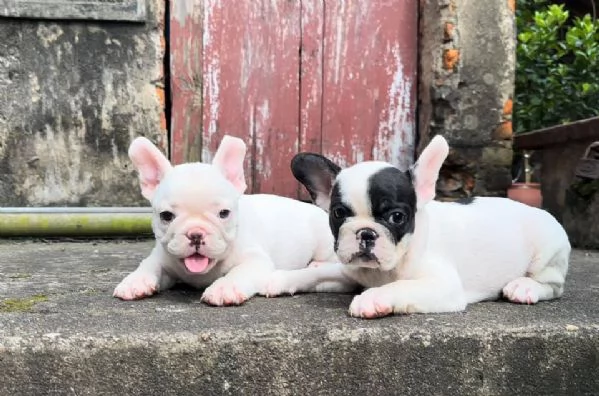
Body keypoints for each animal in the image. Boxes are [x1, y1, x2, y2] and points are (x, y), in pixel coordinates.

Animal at [113, 135, 352, 304]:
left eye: (224, 213)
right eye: (166, 216)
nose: (196, 234)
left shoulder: (256, 261)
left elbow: (239, 272)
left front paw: (224, 288)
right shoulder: (162, 258)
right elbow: (149, 265)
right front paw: (135, 281)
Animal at [270, 135, 576, 318]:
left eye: (396, 217)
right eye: (338, 213)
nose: (366, 233)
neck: (385, 270)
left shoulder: (442, 286)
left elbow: (401, 287)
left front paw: (372, 298)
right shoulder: (349, 272)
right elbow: (317, 274)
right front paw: (282, 279)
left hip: (546, 253)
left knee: (552, 286)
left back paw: (524, 287)